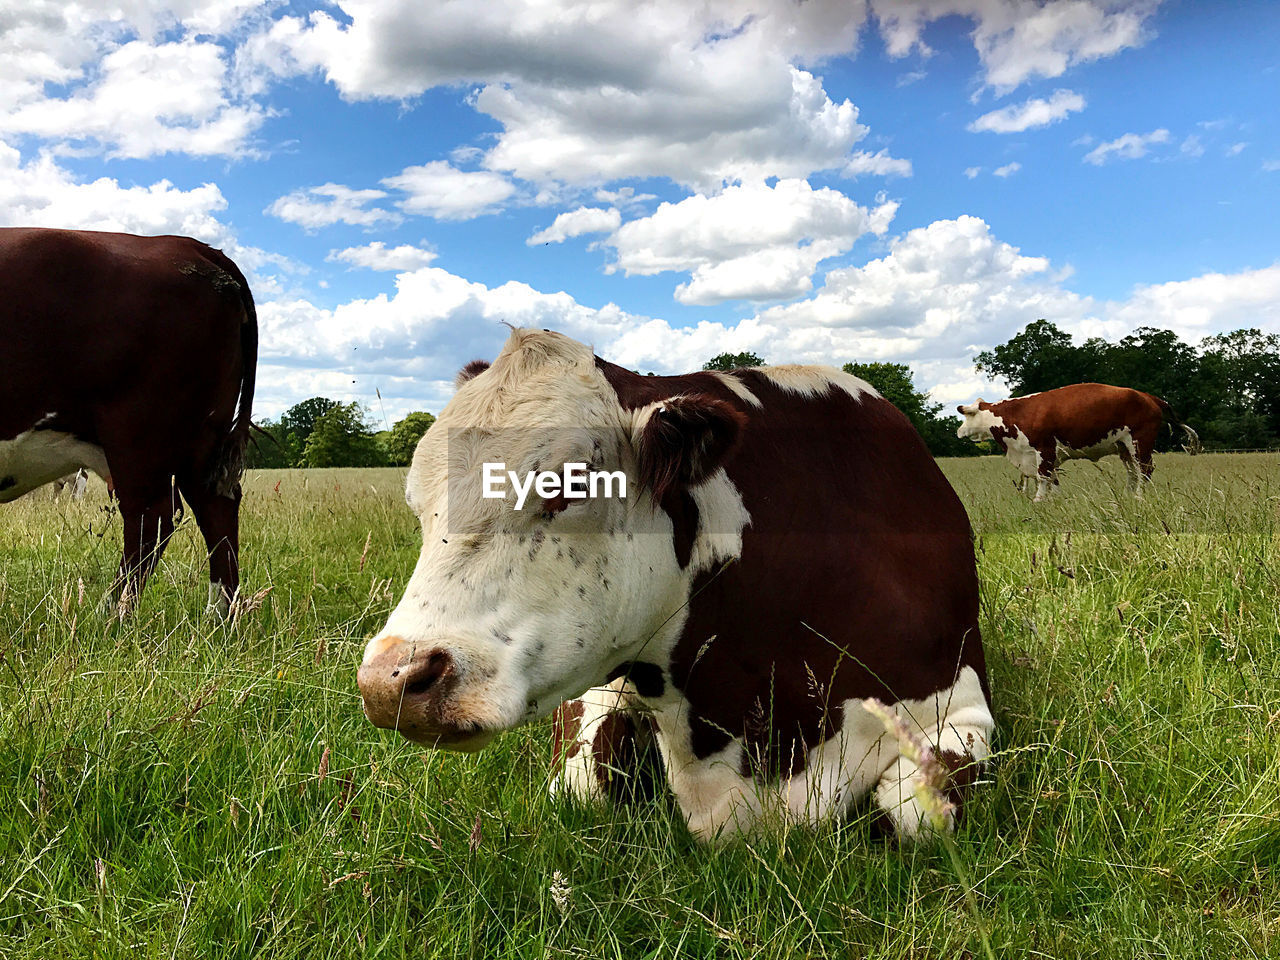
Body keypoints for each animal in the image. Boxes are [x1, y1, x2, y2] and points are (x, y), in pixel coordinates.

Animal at [0, 229, 259, 611]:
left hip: (139, 435)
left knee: (151, 518)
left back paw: (113, 612)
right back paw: (219, 615)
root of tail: (189, 245)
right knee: (215, 510)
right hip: (199, 442)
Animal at [355, 330, 993, 839]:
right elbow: (588, 783)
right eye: (418, 504)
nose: (392, 681)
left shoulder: (961, 702)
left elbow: (915, 812)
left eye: (570, 486)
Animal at [962, 384, 1198, 504]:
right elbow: (1053, 479)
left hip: (1140, 442)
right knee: (1133, 472)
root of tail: (1148, 396)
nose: (959, 430)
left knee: (1145, 470)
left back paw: (1139, 496)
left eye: (967, 415)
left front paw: (1039, 500)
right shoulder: (1043, 454)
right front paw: (1055, 500)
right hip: (1125, 447)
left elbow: (1043, 476)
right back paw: (1127, 495)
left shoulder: (1044, 449)